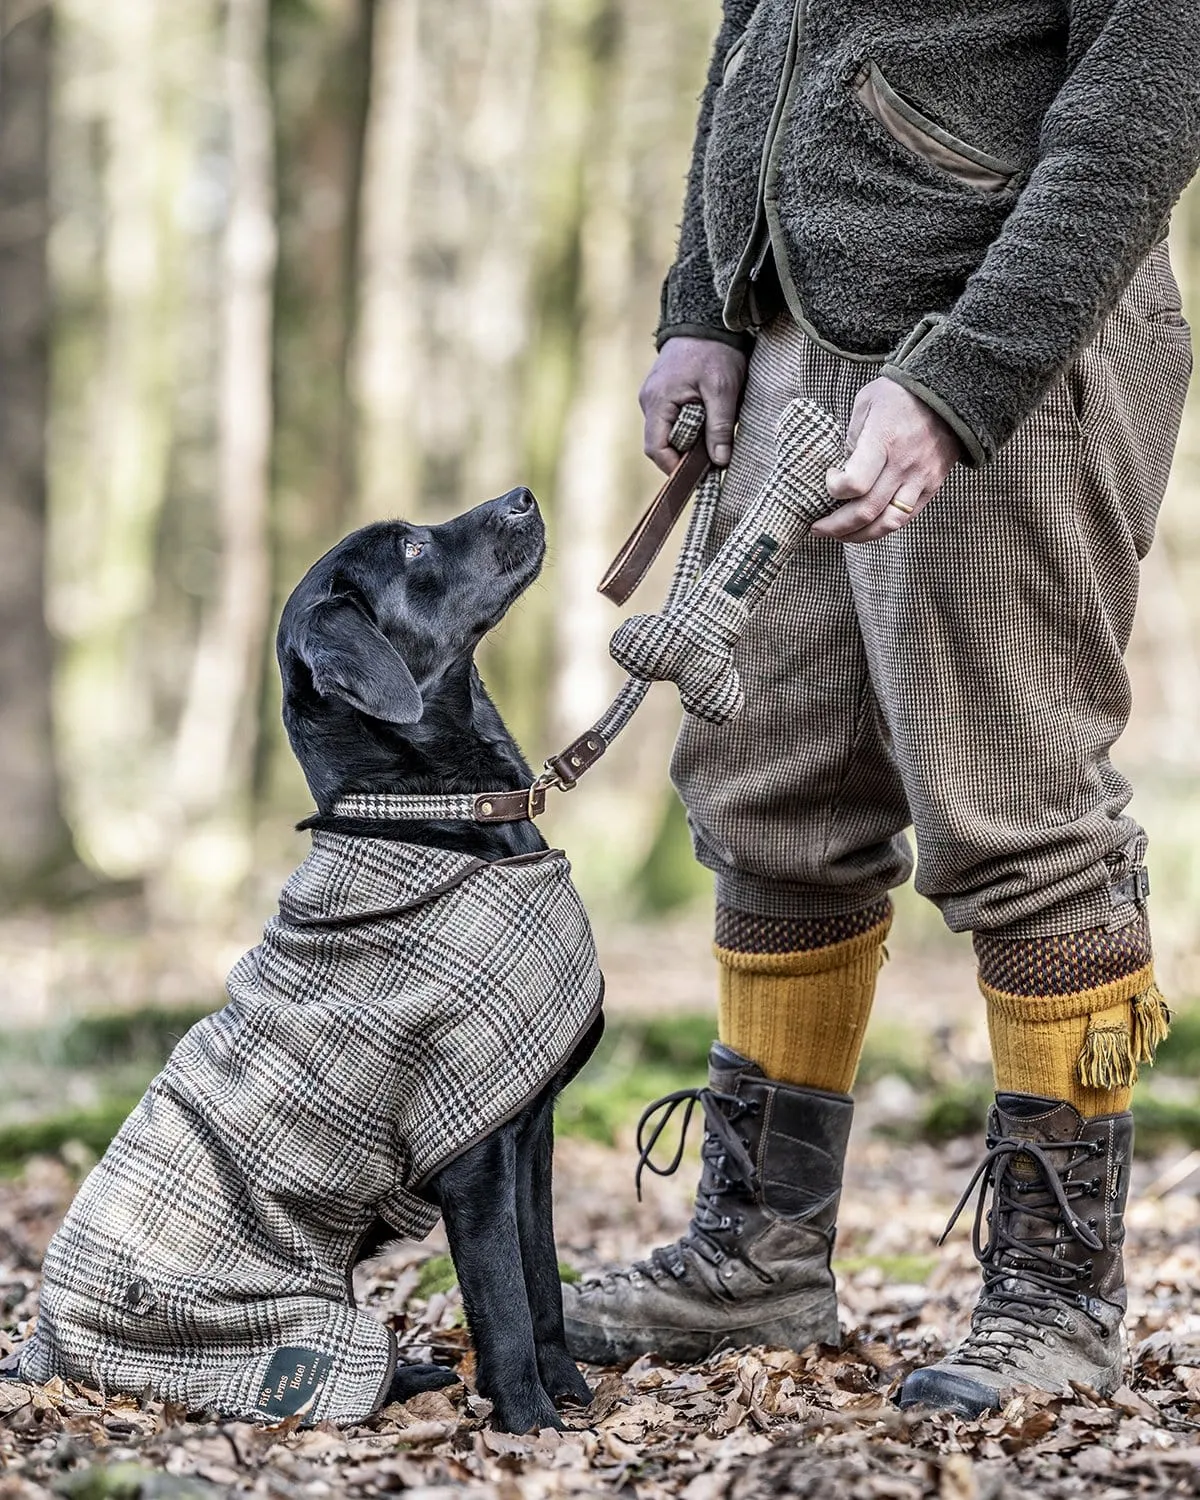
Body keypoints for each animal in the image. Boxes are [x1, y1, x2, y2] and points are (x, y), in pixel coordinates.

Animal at [277, 489, 606, 1428]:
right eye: (413, 547)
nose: (523, 496)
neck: (440, 812)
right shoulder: (475, 1165)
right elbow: (501, 1297)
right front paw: (529, 1424)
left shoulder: (530, 1138)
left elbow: (542, 1282)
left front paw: (567, 1394)